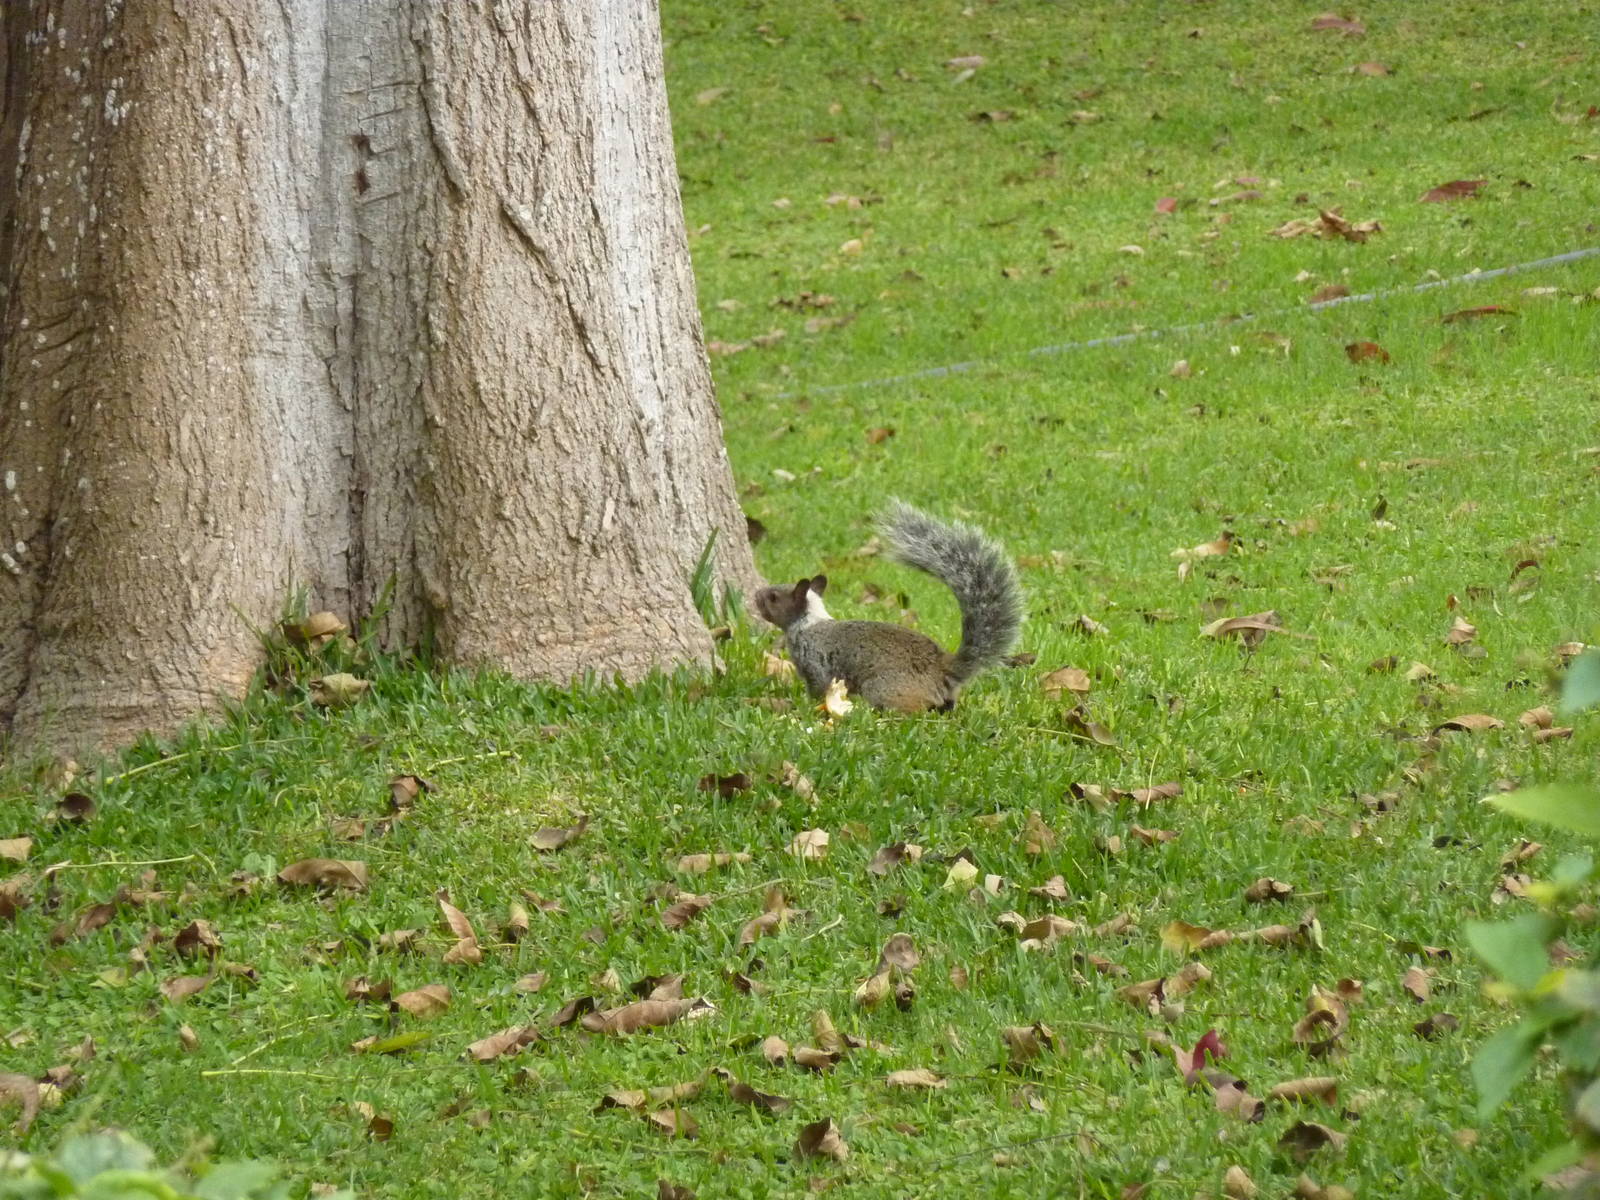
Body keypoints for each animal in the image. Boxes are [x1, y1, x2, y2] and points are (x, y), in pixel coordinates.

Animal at [754, 501, 1023, 713]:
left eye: (774, 597)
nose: (756, 595)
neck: (807, 622)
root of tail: (943, 670)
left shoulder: (814, 661)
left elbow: (818, 687)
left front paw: (813, 706)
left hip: (883, 687)